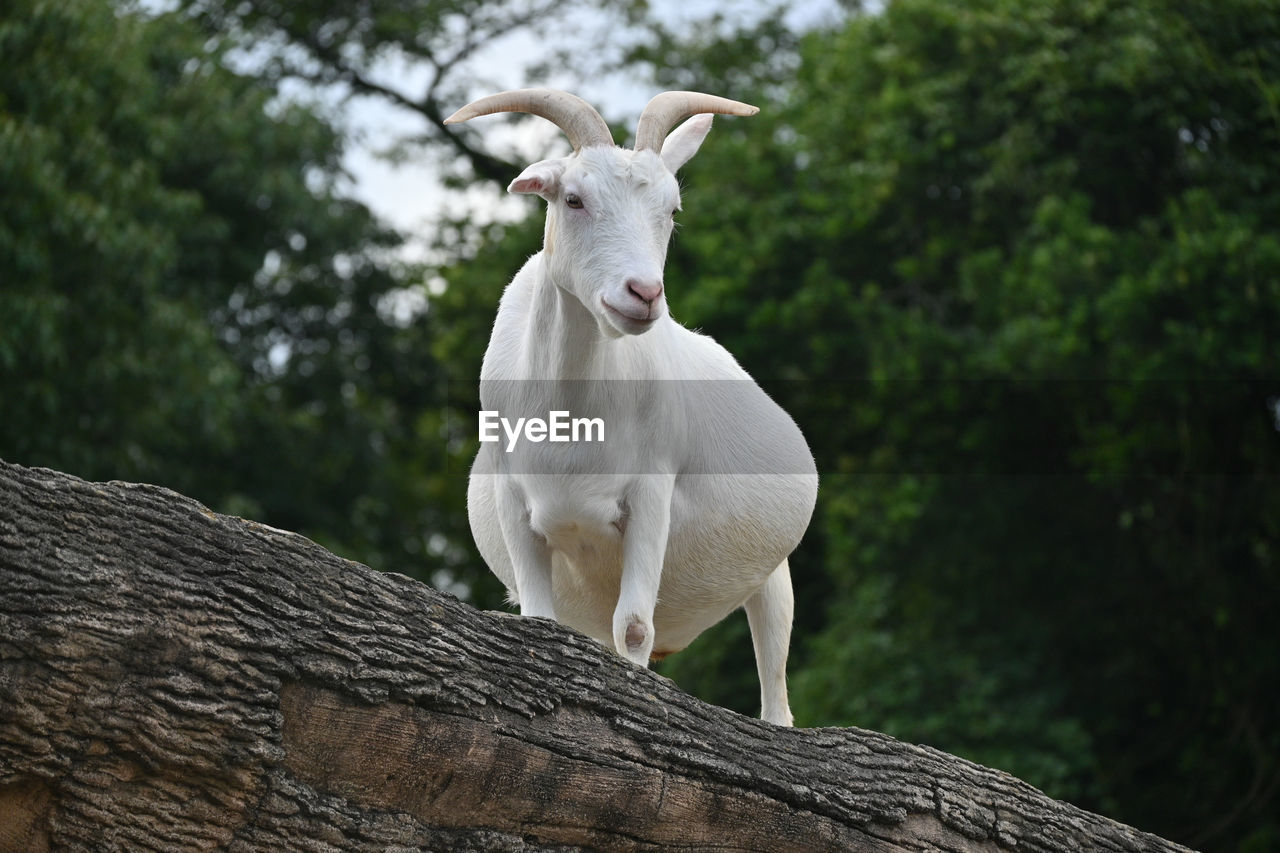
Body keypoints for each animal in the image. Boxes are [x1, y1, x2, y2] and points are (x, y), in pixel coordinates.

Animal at [445, 87, 814, 722]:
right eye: (572, 198)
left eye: (672, 209)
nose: (643, 294)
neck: (570, 419)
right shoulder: (516, 501)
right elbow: (540, 621)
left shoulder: (649, 494)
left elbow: (636, 627)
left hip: (773, 574)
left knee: (775, 680)